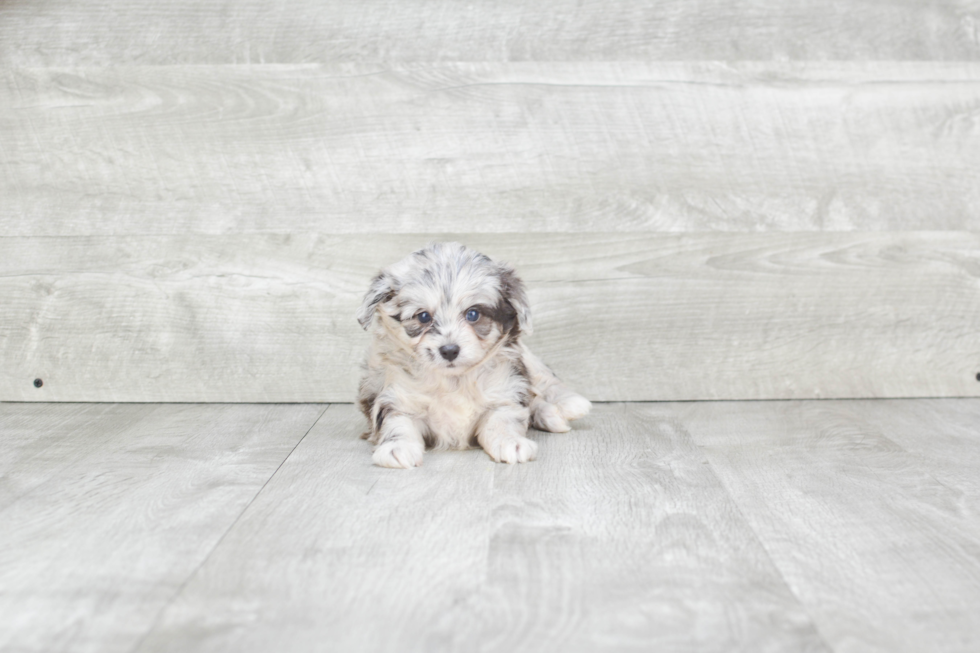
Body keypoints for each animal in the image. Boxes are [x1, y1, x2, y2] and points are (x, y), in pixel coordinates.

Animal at [358, 242, 588, 466]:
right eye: (423, 317)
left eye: (473, 314)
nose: (449, 350)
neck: (454, 381)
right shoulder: (398, 398)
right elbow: (398, 423)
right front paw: (397, 447)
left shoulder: (504, 392)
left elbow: (503, 420)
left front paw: (511, 442)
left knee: (543, 383)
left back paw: (566, 407)